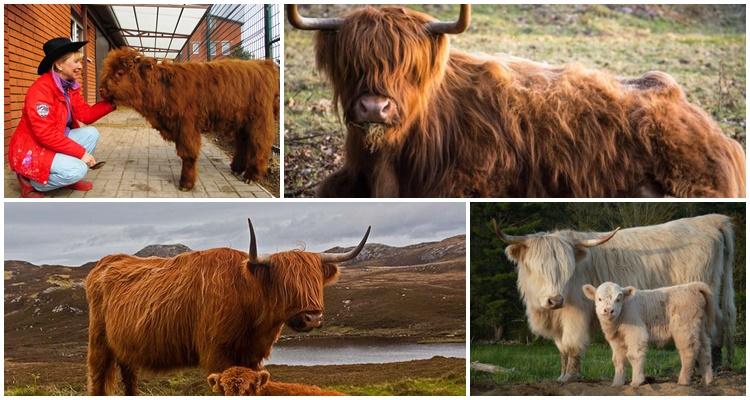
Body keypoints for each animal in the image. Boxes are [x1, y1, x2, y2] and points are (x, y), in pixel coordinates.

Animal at [85, 219, 370, 395]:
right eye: (285, 284)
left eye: (316, 281)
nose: (312, 318)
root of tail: (106, 261)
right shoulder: (216, 353)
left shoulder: (253, 357)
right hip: (99, 343)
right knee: (97, 379)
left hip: (126, 346)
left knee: (130, 379)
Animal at [99, 48, 279, 191]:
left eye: (120, 72)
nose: (101, 89)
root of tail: (264, 64)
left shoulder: (187, 126)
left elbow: (188, 154)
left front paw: (186, 183)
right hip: (242, 121)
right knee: (243, 142)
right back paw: (236, 168)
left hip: (259, 119)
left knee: (259, 144)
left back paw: (251, 176)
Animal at [583, 282, 714, 387]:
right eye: (599, 299)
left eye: (618, 299)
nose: (609, 310)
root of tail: (693, 286)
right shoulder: (616, 339)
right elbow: (618, 359)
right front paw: (617, 383)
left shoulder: (636, 333)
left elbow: (633, 355)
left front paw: (636, 382)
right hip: (699, 328)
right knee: (705, 350)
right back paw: (707, 381)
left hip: (684, 328)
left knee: (688, 351)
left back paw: (683, 381)